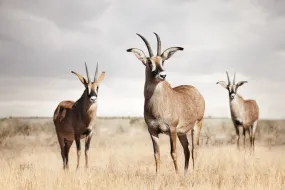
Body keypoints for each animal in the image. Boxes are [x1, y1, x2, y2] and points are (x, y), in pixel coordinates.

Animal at [126, 32, 204, 175]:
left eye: (162, 60)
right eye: (149, 62)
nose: (163, 75)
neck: (157, 105)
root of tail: (196, 91)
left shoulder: (171, 129)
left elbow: (173, 153)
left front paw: (176, 175)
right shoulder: (152, 131)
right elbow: (156, 154)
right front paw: (157, 176)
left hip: (196, 126)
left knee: (194, 149)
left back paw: (192, 172)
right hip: (181, 133)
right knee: (187, 150)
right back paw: (185, 174)